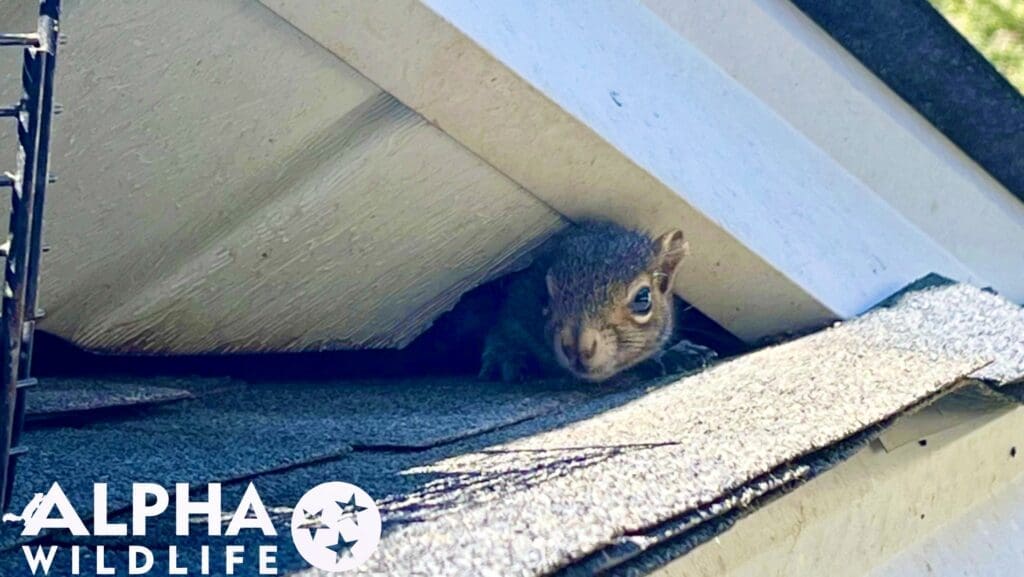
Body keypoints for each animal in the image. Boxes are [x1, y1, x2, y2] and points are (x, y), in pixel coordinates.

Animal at [479, 220, 715, 383]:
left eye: (643, 298)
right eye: (542, 294)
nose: (577, 347)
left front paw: (676, 353)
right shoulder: (515, 306)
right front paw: (507, 357)